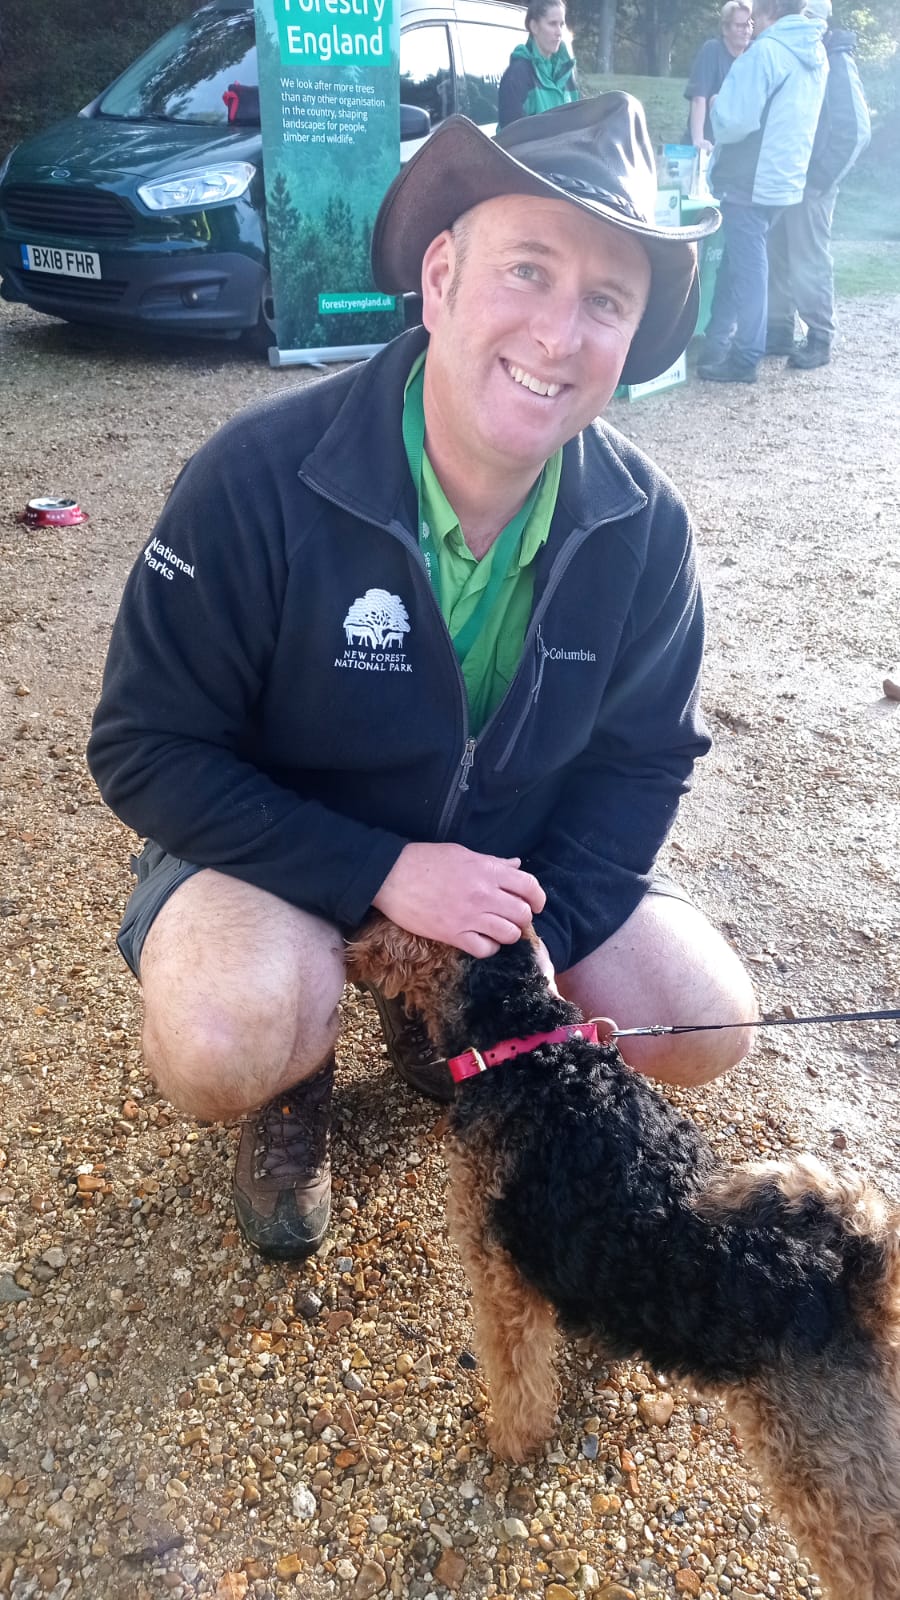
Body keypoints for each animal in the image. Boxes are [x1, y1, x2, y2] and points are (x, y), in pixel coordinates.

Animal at [347, 915, 896, 1600]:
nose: (348, 943)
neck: (528, 1049)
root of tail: (855, 1291)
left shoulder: (501, 1280)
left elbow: (516, 1381)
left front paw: (507, 1443)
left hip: (833, 1484)